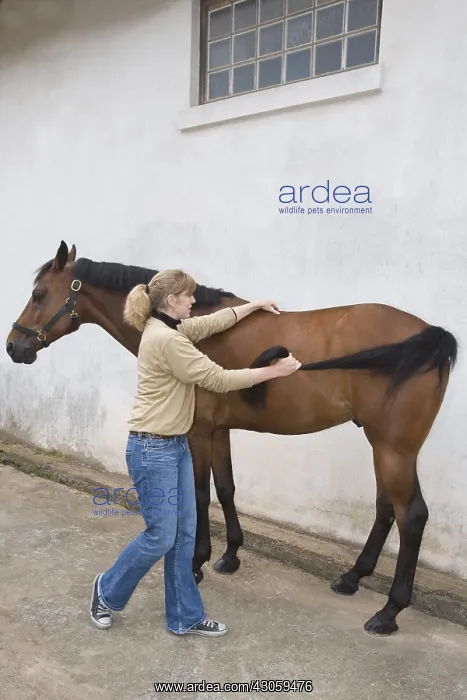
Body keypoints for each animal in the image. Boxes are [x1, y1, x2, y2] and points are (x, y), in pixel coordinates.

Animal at [6, 241, 457, 636]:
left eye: (39, 293)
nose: (14, 346)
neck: (187, 329)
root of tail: (430, 335)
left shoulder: (199, 432)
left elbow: (200, 493)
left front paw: (197, 562)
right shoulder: (219, 430)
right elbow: (226, 488)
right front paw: (230, 555)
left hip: (394, 450)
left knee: (411, 516)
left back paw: (389, 612)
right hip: (383, 446)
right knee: (386, 509)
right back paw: (351, 578)